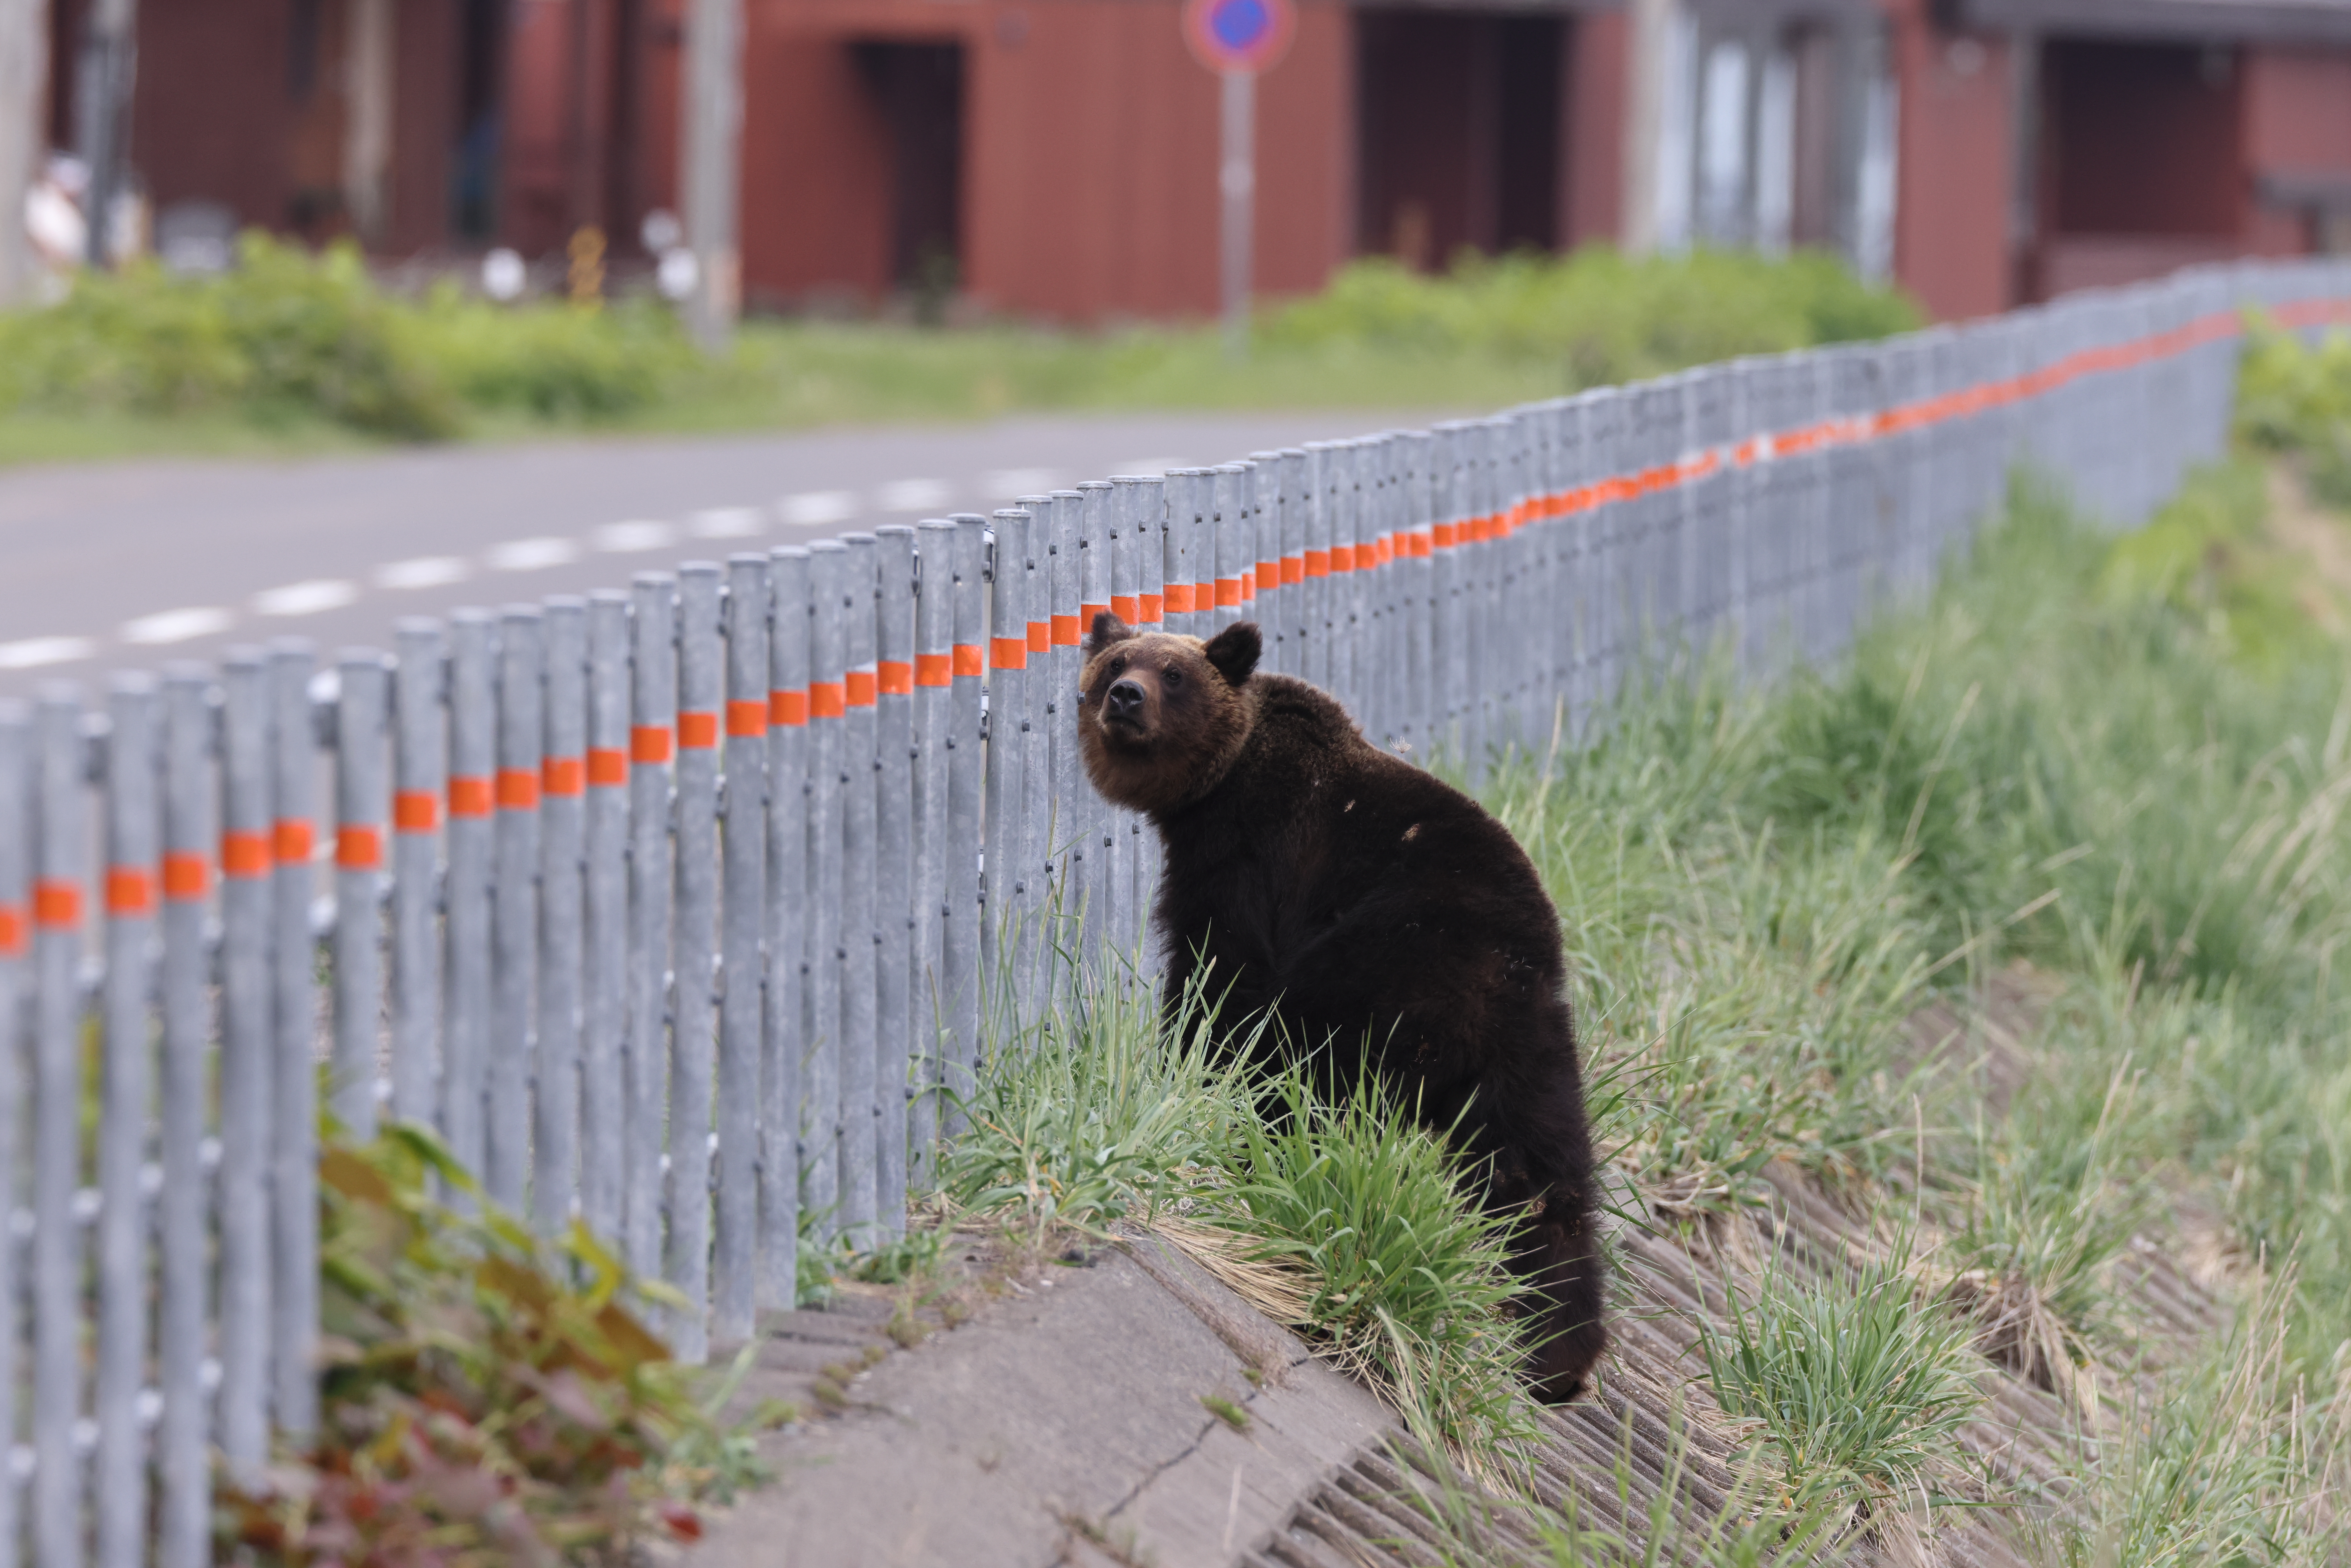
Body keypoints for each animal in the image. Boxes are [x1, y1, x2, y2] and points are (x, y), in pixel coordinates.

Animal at [1076, 612, 1607, 1403]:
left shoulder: (1251, 856)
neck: (1211, 788)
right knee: (1546, 1180)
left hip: (1380, 973)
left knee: (1301, 1069)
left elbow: (1216, 976)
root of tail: (1497, 985)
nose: (1125, 697)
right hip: (1536, 1052)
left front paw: (1181, 1067)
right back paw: (1556, 1356)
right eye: (1116, 660)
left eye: (1173, 673)